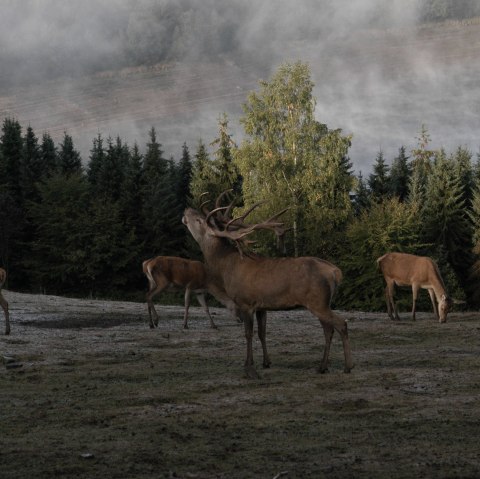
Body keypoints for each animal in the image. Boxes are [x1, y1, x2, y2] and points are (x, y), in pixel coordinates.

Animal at [181, 192, 352, 378]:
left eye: (199, 220)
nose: (186, 210)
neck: (226, 268)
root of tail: (335, 272)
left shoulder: (245, 302)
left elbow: (248, 334)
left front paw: (250, 369)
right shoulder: (261, 306)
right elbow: (262, 333)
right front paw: (266, 362)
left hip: (318, 302)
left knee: (341, 324)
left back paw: (347, 366)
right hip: (321, 303)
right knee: (328, 330)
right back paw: (322, 366)